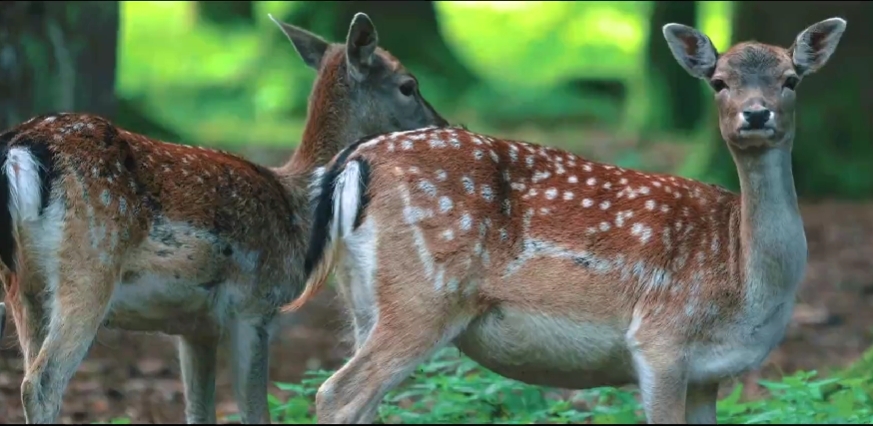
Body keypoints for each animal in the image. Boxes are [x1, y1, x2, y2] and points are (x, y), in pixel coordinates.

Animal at [0, 12, 447, 424]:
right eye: (408, 85)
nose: (443, 124)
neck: (297, 206)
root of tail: (21, 148)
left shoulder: (194, 327)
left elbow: (199, 412)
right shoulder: (254, 305)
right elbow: (256, 413)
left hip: (25, 285)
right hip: (90, 262)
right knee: (41, 383)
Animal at [286, 17, 847, 424]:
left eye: (791, 79)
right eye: (718, 82)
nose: (756, 114)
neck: (744, 279)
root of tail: (355, 160)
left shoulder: (710, 373)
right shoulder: (659, 340)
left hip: (362, 300)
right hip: (423, 295)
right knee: (337, 393)